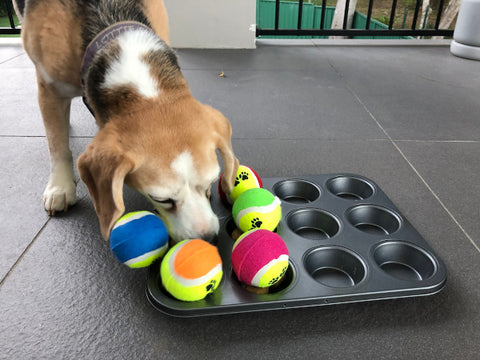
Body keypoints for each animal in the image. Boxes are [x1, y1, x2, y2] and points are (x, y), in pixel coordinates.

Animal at [14, 0, 239, 242]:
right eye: (162, 200)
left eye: (211, 183)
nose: (208, 238)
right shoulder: (49, 89)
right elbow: (57, 146)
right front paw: (60, 188)